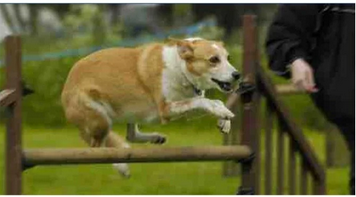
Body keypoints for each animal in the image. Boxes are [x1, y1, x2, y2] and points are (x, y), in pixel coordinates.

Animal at [60, 37, 239, 177]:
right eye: (213, 59)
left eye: (228, 57)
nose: (237, 75)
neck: (180, 68)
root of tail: (64, 91)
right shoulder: (166, 109)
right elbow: (203, 102)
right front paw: (223, 114)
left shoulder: (187, 109)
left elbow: (212, 102)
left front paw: (224, 119)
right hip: (100, 118)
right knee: (98, 148)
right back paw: (121, 166)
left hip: (130, 112)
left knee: (129, 135)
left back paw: (155, 138)